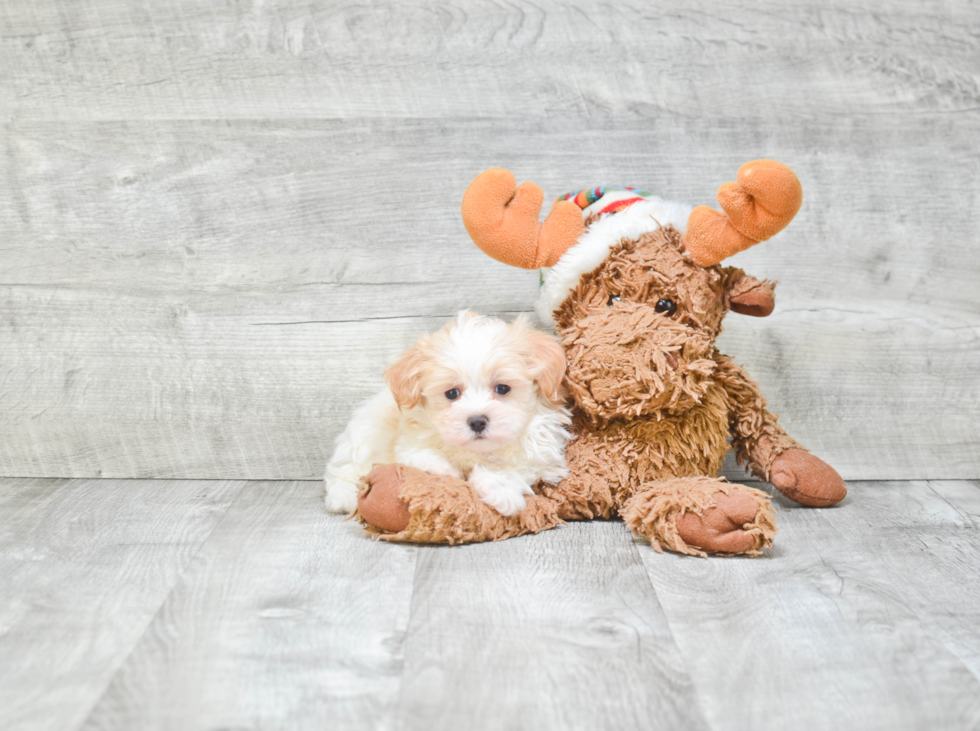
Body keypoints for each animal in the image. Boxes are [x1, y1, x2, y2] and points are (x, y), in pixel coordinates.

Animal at [326, 312, 572, 516]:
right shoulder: (408, 440)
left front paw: (501, 489)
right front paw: (443, 469)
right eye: (452, 393)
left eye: (502, 388)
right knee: (344, 471)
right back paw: (343, 497)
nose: (477, 421)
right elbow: (417, 454)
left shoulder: (542, 456)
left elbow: (519, 468)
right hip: (363, 436)